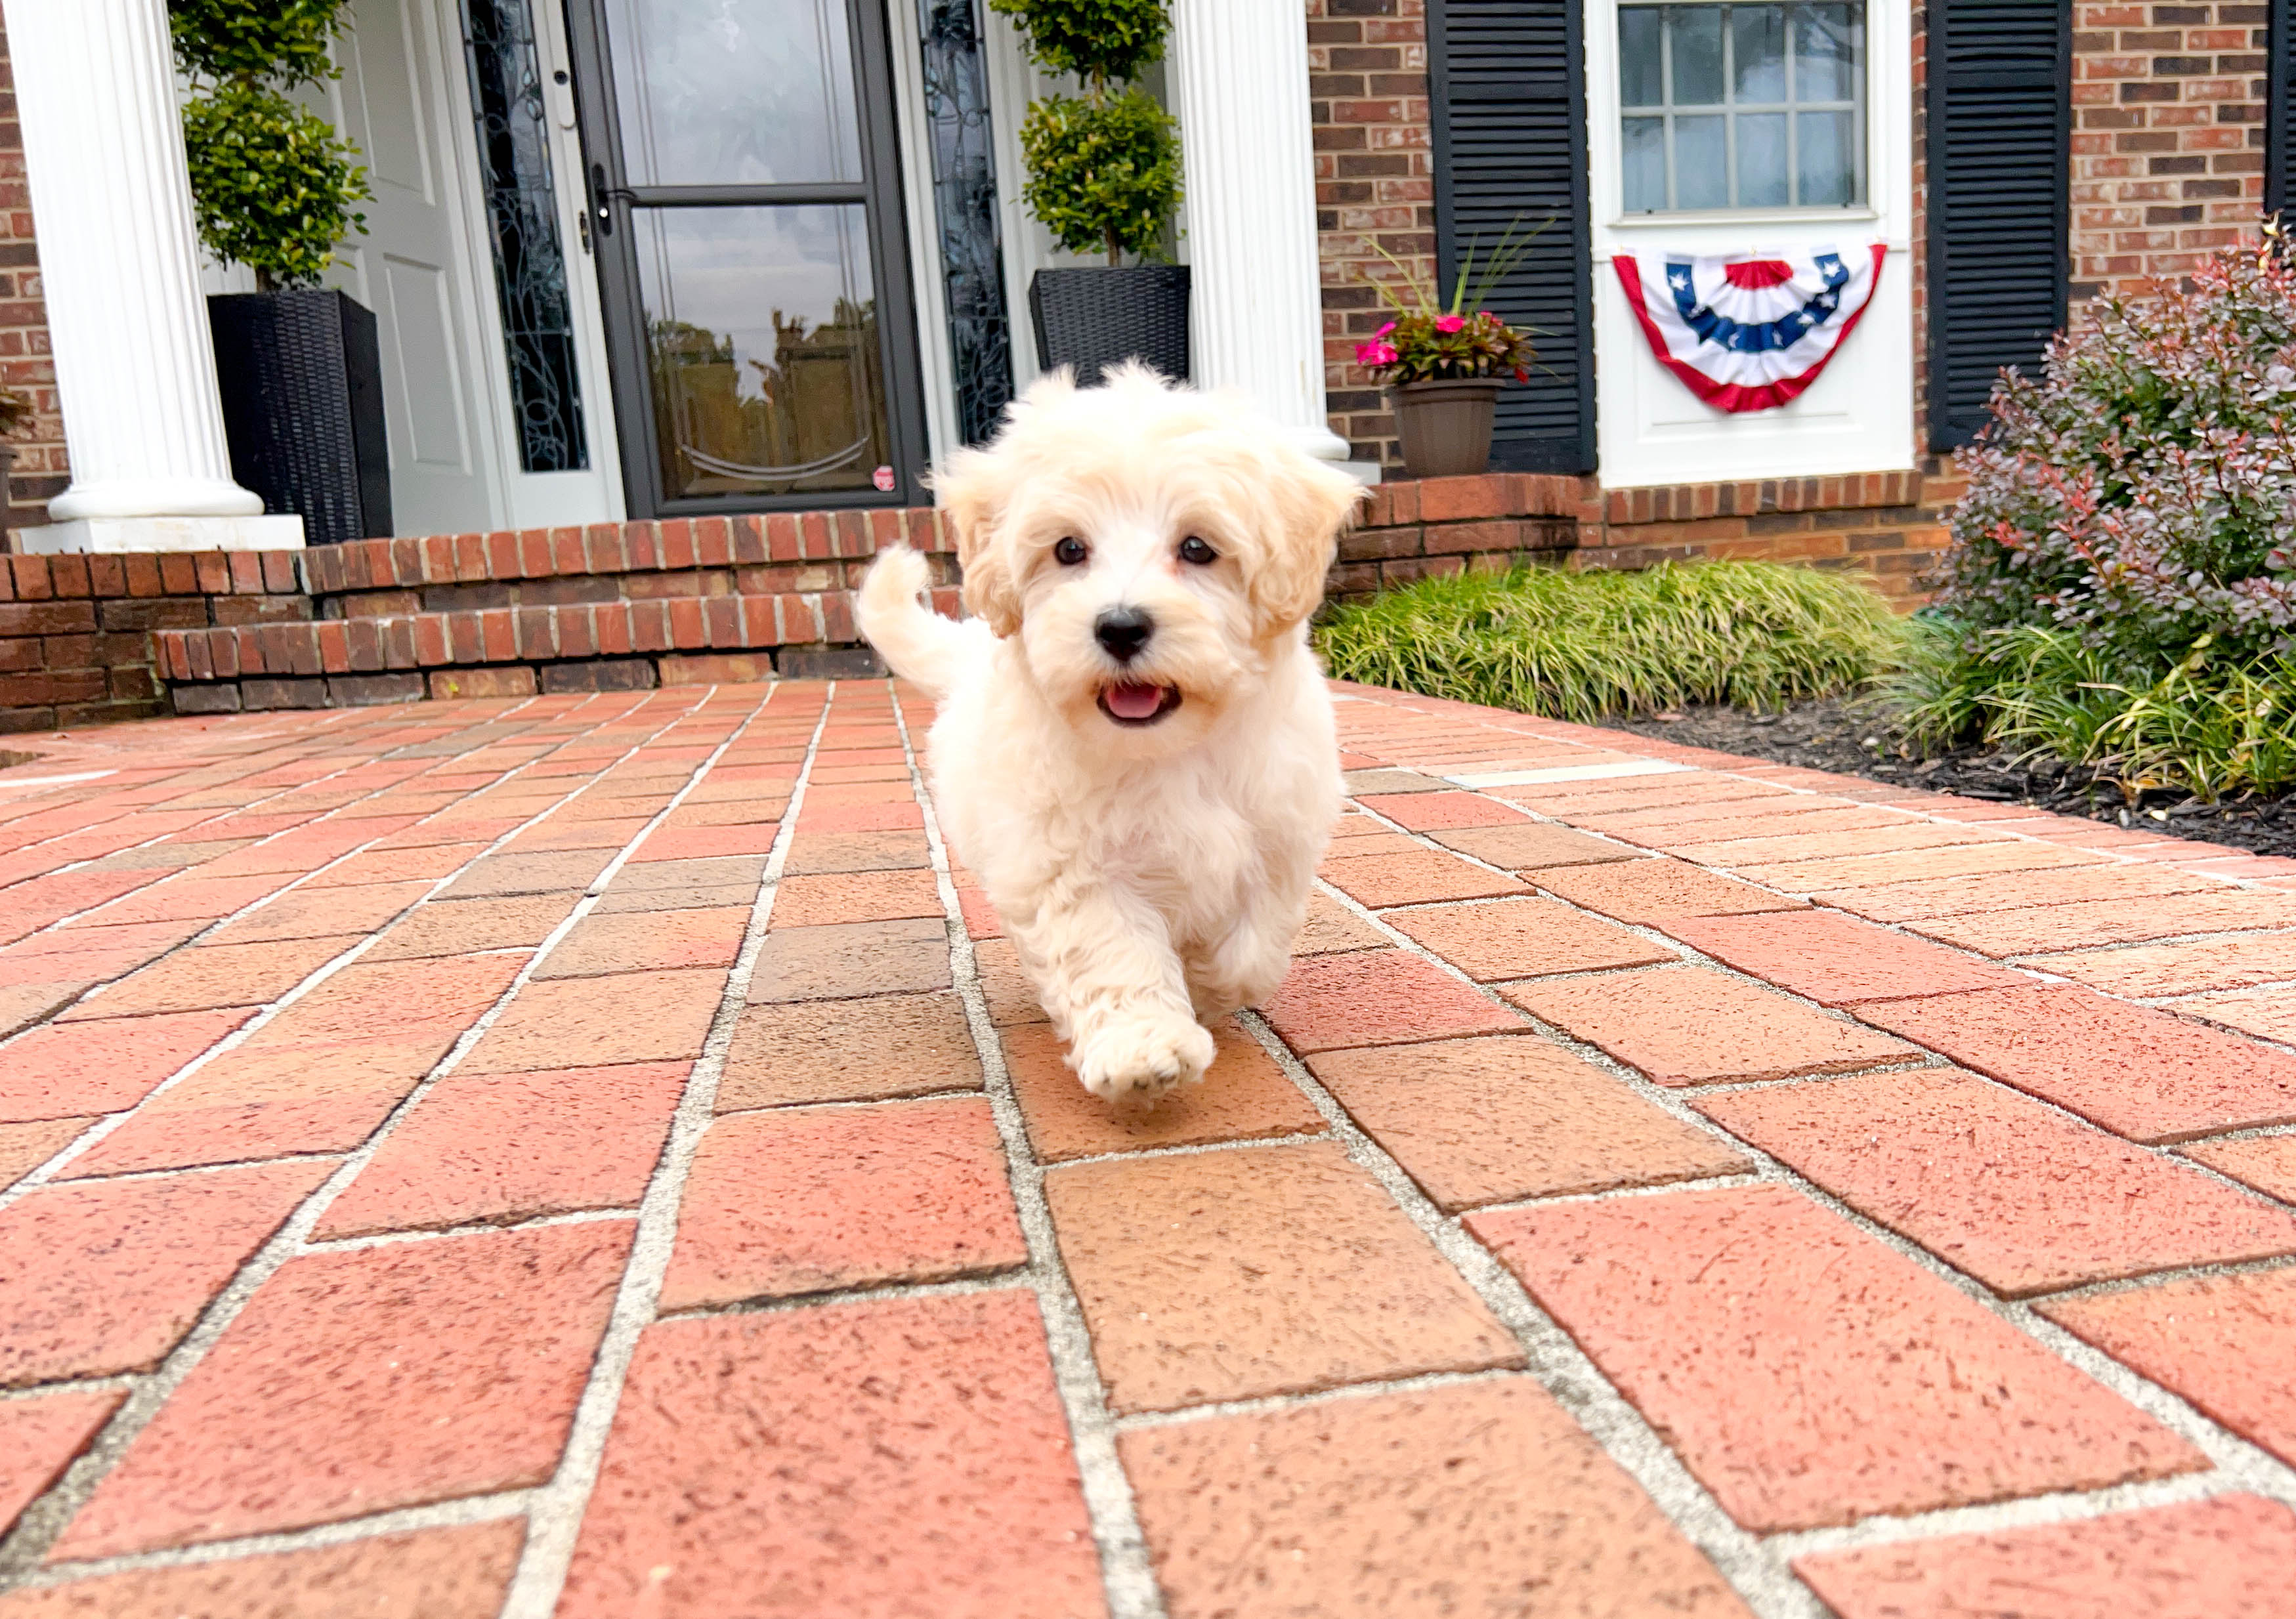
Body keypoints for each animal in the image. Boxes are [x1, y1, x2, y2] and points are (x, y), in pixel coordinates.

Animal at [863, 362, 1359, 1097]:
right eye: (1069, 548)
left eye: (1197, 547)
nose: (1121, 626)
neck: (1168, 749)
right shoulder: (1070, 861)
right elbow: (1111, 947)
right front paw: (1144, 1047)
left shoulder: (1278, 834)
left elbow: (1250, 946)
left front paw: (1208, 986)